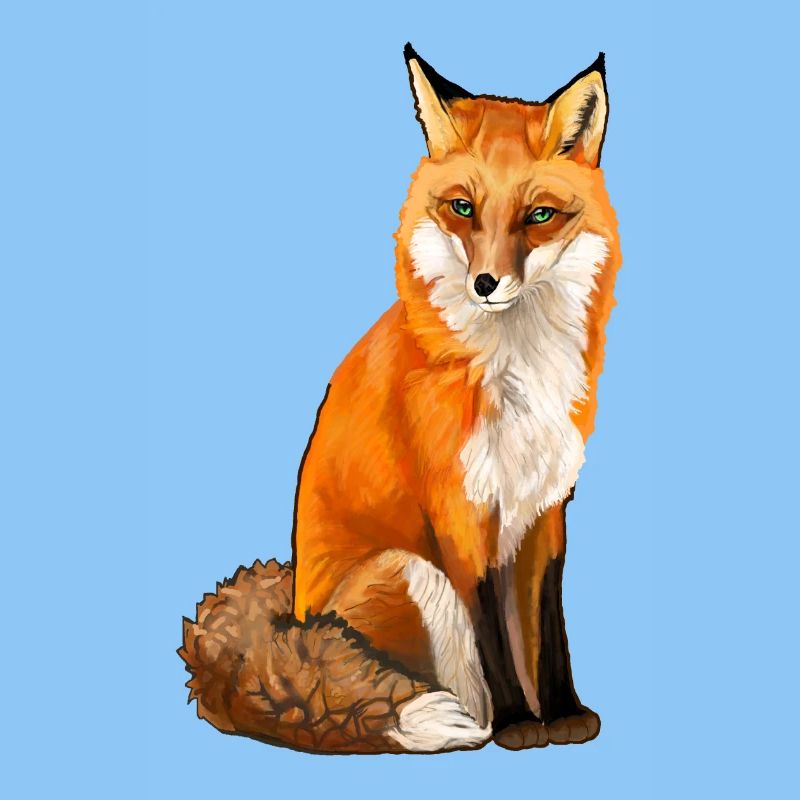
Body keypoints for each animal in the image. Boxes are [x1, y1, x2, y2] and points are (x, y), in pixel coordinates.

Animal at [181, 44, 621, 755]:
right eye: (463, 208)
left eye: (539, 216)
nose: (486, 283)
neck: (515, 371)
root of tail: (290, 617)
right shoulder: (459, 512)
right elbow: (494, 635)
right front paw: (521, 724)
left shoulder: (545, 507)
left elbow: (549, 627)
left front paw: (563, 712)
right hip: (411, 570)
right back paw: (471, 722)